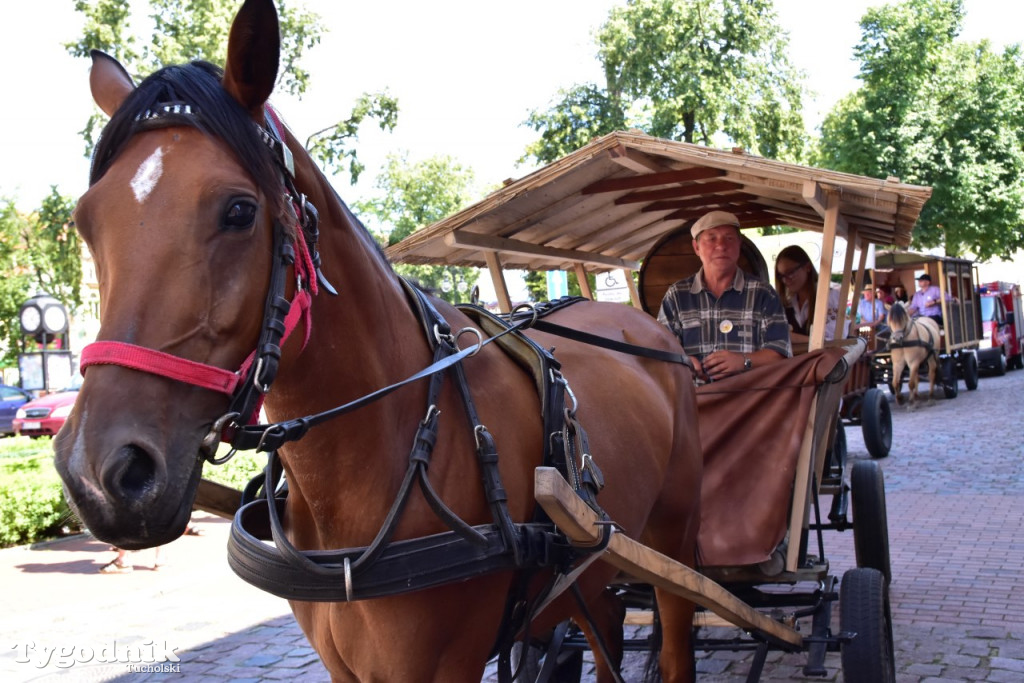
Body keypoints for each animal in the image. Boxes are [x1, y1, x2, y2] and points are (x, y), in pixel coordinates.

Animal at [54, 2, 704, 679]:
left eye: (238, 211)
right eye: (85, 221)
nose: (98, 475)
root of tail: (648, 329)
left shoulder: (442, 664)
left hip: (676, 541)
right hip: (591, 569)